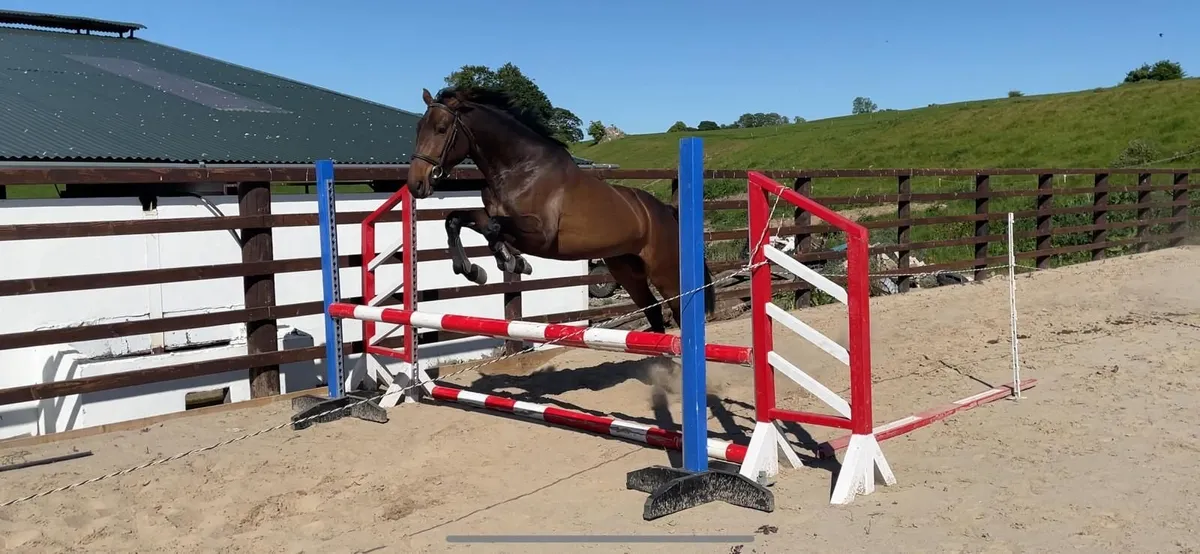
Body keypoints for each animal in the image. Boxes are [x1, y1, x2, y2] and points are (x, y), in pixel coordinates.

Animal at [405, 86, 715, 333]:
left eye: (441, 129)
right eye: (418, 129)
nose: (416, 184)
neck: (520, 168)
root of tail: (667, 211)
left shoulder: (541, 234)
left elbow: (493, 228)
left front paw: (510, 262)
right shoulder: (495, 216)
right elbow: (457, 220)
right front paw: (474, 270)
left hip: (666, 272)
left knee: (679, 310)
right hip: (626, 270)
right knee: (652, 310)